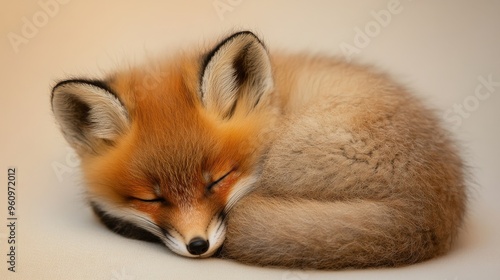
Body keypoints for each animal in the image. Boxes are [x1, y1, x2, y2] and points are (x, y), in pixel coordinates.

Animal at [49, 31, 464, 270]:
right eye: (151, 199)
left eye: (218, 180)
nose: (198, 246)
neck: (277, 98)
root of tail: (435, 209)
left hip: (285, 156)